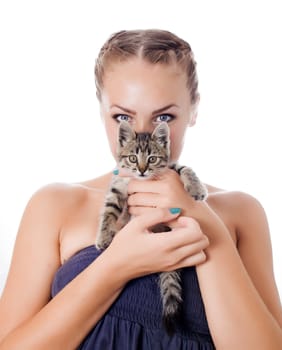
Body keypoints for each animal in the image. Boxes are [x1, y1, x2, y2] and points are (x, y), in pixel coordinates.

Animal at [96, 121, 208, 334]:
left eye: (152, 159)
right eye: (132, 158)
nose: (141, 170)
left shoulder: (171, 166)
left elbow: (185, 168)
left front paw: (196, 188)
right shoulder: (117, 186)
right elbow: (108, 212)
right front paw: (104, 236)